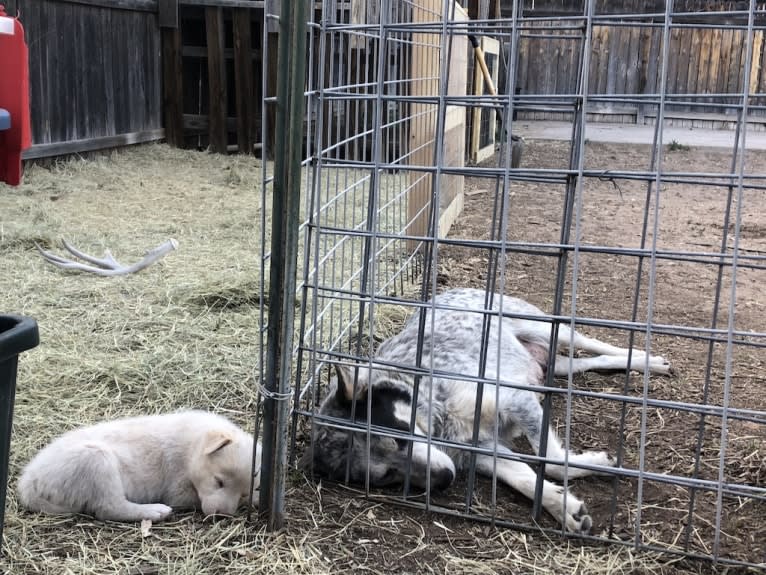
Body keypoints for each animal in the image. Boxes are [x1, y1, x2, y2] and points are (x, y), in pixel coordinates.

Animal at [16, 410, 262, 520]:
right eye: (218, 481)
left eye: (242, 494)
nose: (223, 515)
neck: (194, 445)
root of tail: (29, 480)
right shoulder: (178, 489)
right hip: (97, 461)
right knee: (109, 508)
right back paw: (155, 511)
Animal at [300, 290, 672, 532]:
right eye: (387, 476)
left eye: (401, 436)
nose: (446, 479)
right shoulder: (479, 449)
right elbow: (525, 477)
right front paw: (562, 507)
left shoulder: (515, 399)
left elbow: (553, 460)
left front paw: (593, 463)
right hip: (553, 365)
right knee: (585, 363)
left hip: (546, 326)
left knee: (595, 343)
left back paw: (648, 359)